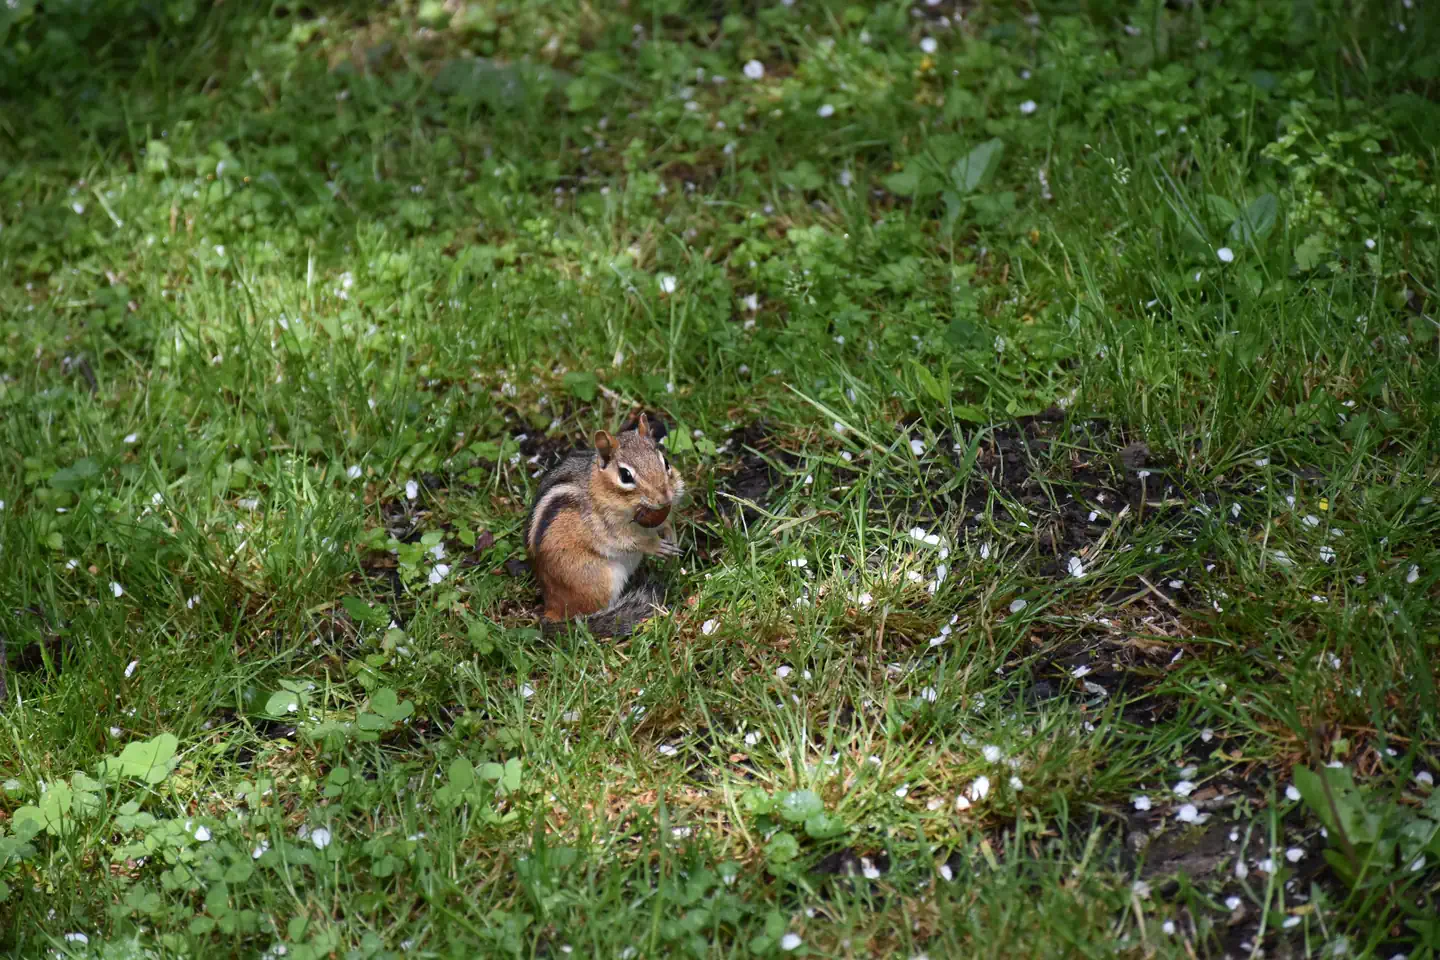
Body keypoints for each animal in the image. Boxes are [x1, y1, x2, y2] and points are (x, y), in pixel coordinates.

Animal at [525, 413, 685, 637]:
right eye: (625, 476)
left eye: (666, 462)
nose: (665, 498)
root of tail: (551, 607)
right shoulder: (604, 527)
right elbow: (629, 541)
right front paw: (655, 546)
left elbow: (666, 522)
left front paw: (671, 534)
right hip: (599, 580)